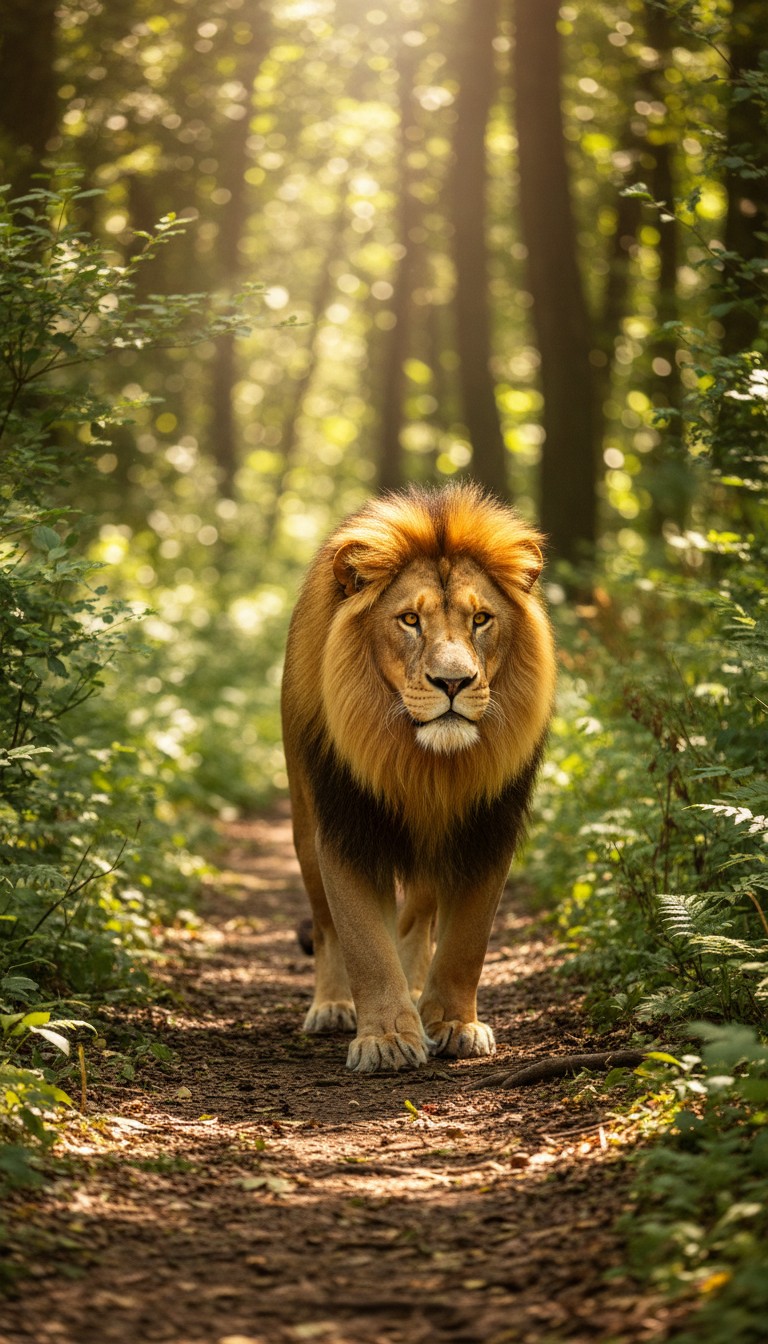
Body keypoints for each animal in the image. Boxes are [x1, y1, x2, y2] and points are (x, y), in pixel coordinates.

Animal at [281, 482, 556, 1073]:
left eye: (481, 620)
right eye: (409, 620)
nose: (453, 682)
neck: (425, 764)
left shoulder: (487, 829)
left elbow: (466, 944)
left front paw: (453, 1024)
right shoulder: (347, 826)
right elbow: (363, 942)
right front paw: (385, 1038)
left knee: (417, 918)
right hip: (302, 823)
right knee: (325, 926)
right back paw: (333, 1006)